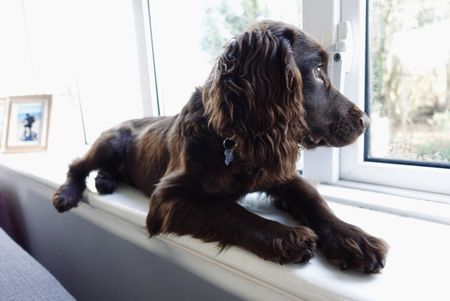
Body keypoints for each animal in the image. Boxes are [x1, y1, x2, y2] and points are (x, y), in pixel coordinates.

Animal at [51, 19, 386, 270]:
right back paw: (67, 193)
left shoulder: (280, 174)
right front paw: (288, 236)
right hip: (111, 139)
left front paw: (353, 239)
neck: (233, 143)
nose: (366, 121)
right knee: (76, 165)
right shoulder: (167, 199)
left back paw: (105, 180)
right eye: (317, 71)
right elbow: (228, 210)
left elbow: (315, 202)